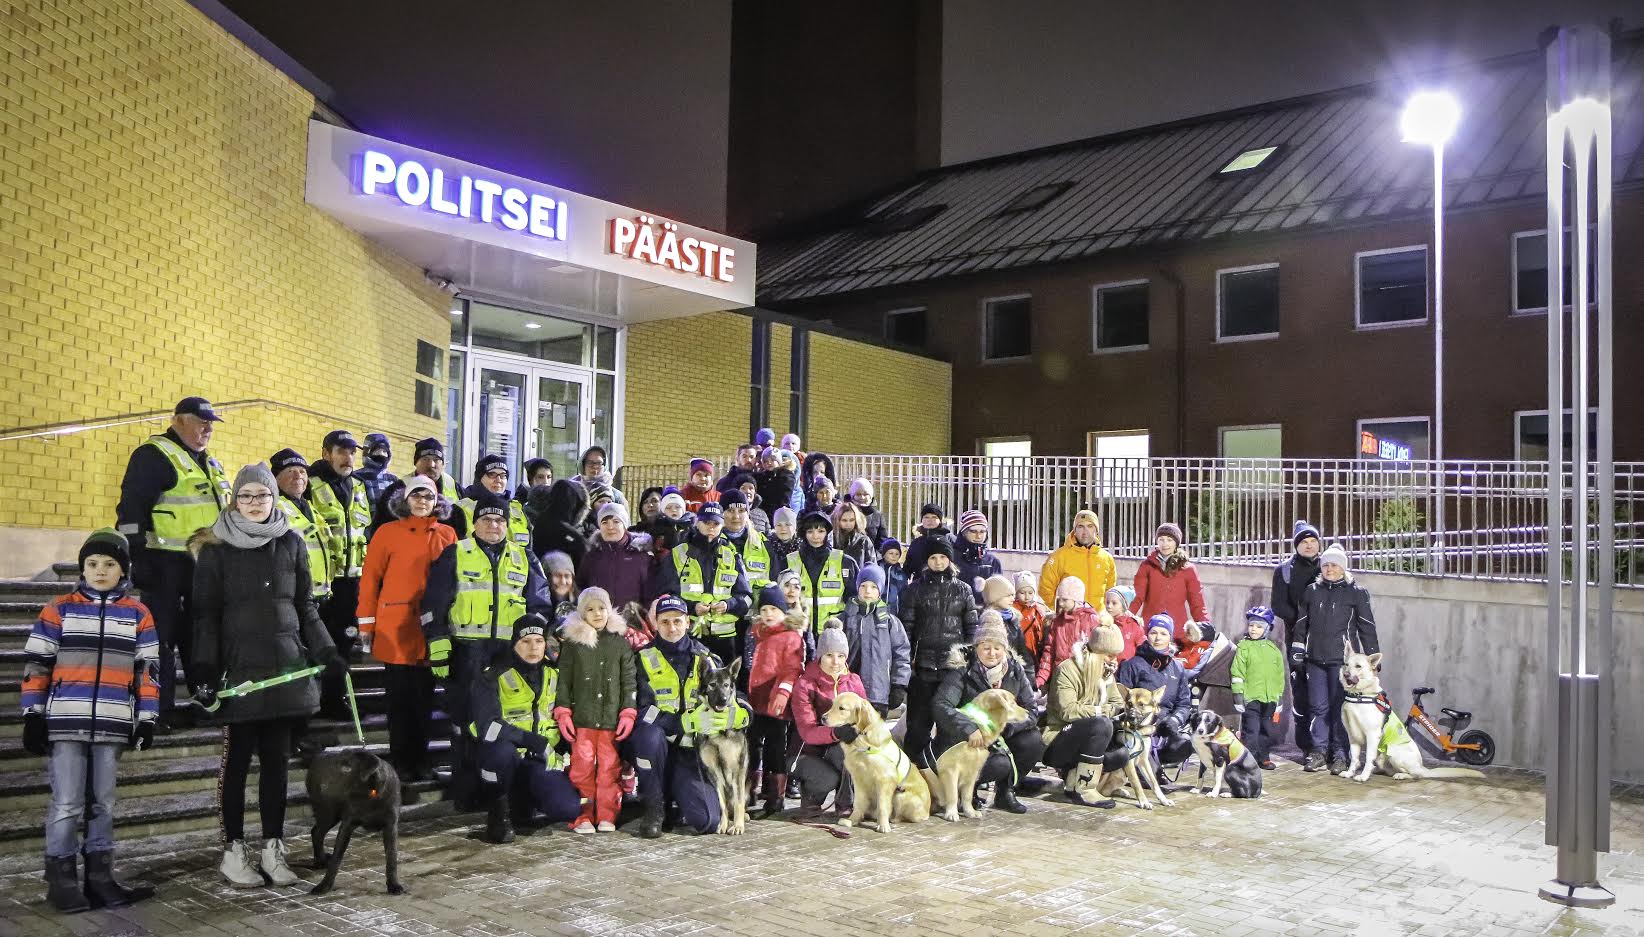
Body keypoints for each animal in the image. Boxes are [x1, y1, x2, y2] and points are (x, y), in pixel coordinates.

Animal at [305, 746, 404, 894]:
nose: (323, 785)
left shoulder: (390, 826)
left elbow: (391, 857)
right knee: (316, 832)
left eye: (346, 768)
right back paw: (320, 860)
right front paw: (324, 885)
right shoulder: (347, 825)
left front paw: (394, 885)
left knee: (316, 832)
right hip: (328, 813)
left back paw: (320, 860)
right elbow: (336, 859)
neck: (370, 793)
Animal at [693, 654, 752, 835]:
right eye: (712, 685)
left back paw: (743, 817)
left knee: (741, 802)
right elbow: (722, 803)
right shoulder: (714, 773)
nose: (724, 699)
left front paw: (738, 826)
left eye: (726, 685)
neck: (718, 733)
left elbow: (738, 801)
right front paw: (723, 824)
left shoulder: (737, 770)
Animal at [818, 690, 927, 828]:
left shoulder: (884, 779)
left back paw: (892, 820)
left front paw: (883, 826)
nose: (823, 717)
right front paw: (852, 820)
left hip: (901, 795)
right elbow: (858, 803)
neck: (862, 741)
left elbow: (883, 805)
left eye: (841, 708)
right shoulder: (858, 779)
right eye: (832, 705)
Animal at [927, 687, 1025, 815]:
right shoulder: (950, 769)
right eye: (1013, 703)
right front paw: (952, 814)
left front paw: (970, 812)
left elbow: (967, 795)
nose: (1028, 713)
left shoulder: (973, 770)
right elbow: (953, 794)